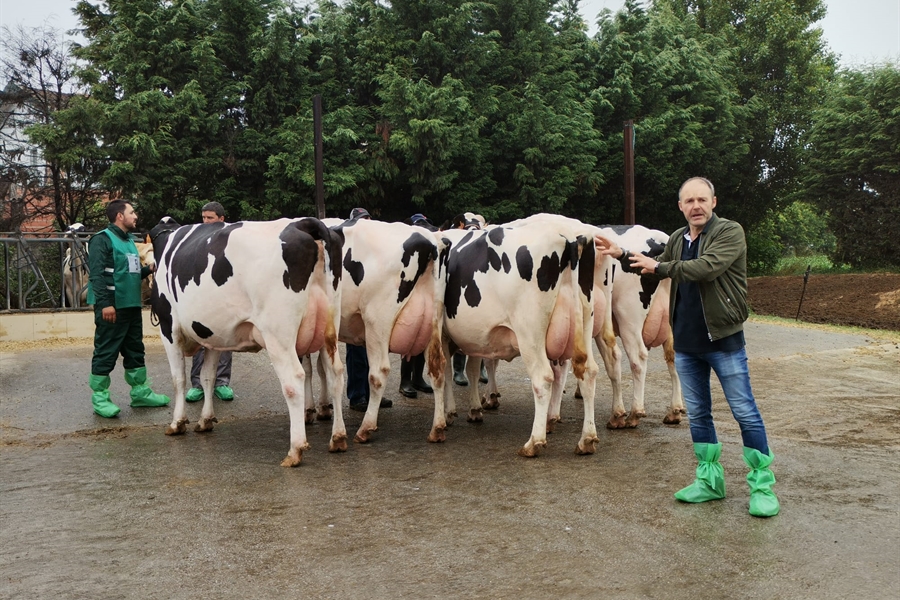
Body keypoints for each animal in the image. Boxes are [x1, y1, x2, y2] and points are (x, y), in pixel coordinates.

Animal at [149, 217, 346, 468]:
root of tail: (303, 223)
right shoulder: (213, 335)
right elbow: (207, 376)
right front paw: (205, 420)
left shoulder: (168, 327)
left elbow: (178, 379)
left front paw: (177, 423)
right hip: (329, 327)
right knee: (335, 373)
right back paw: (338, 438)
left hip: (278, 333)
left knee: (294, 379)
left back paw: (295, 449)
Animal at [438, 223, 604, 458]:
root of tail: (570, 238)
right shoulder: (476, 338)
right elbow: (472, 369)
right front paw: (474, 409)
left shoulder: (443, 333)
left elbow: (446, 372)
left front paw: (450, 412)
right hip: (585, 321)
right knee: (588, 372)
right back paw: (586, 440)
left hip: (529, 333)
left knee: (543, 378)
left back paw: (534, 442)